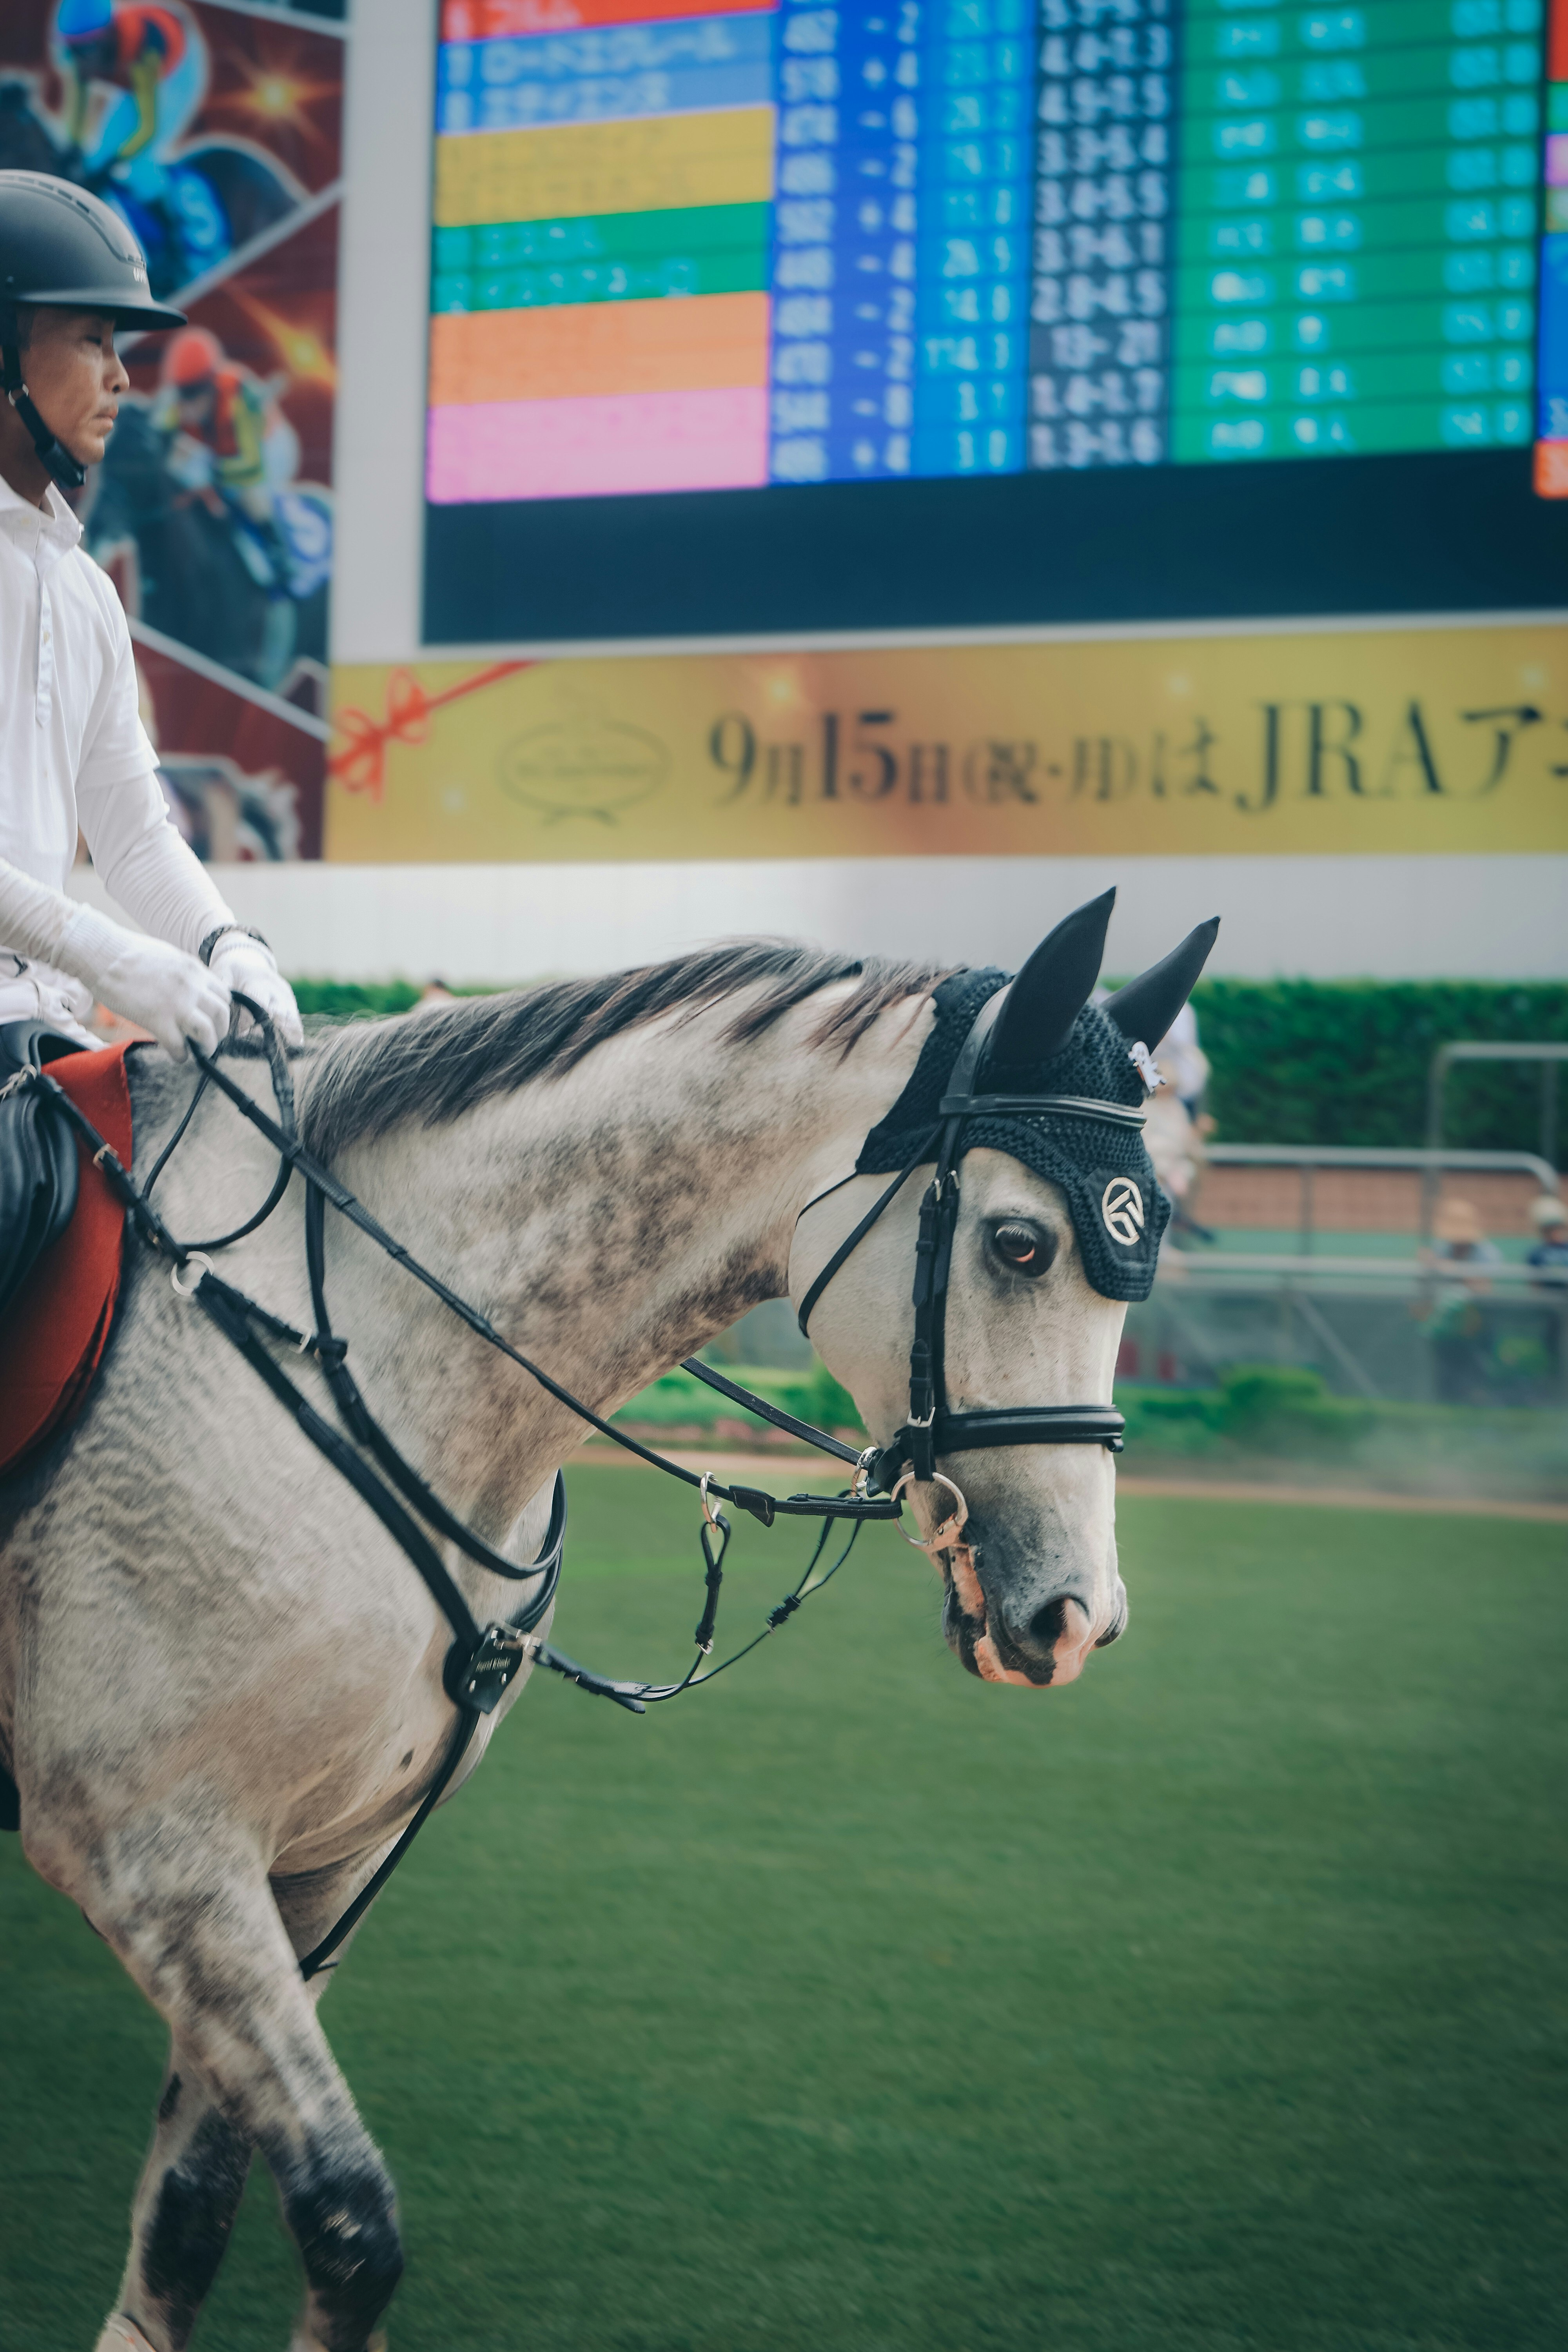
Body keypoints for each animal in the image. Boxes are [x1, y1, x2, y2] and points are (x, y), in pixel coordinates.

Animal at [0, 895, 1214, 2352]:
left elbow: (195, 2211)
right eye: (1022, 1243)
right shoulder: (153, 1851)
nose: (1077, 1611)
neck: (364, 1342)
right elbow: (351, 2224)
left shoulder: (317, 1867)